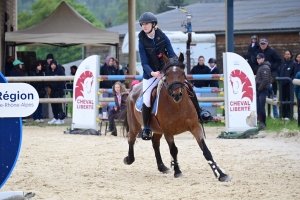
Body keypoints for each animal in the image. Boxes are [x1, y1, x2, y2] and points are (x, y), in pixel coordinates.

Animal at [123, 53, 231, 183]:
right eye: (167, 74)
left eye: (182, 73)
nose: (177, 94)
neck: (178, 106)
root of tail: (133, 89)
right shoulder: (168, 132)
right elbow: (174, 150)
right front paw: (177, 171)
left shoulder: (195, 127)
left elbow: (206, 151)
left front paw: (221, 174)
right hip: (135, 125)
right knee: (131, 139)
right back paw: (129, 159)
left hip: (158, 129)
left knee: (155, 143)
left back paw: (162, 167)